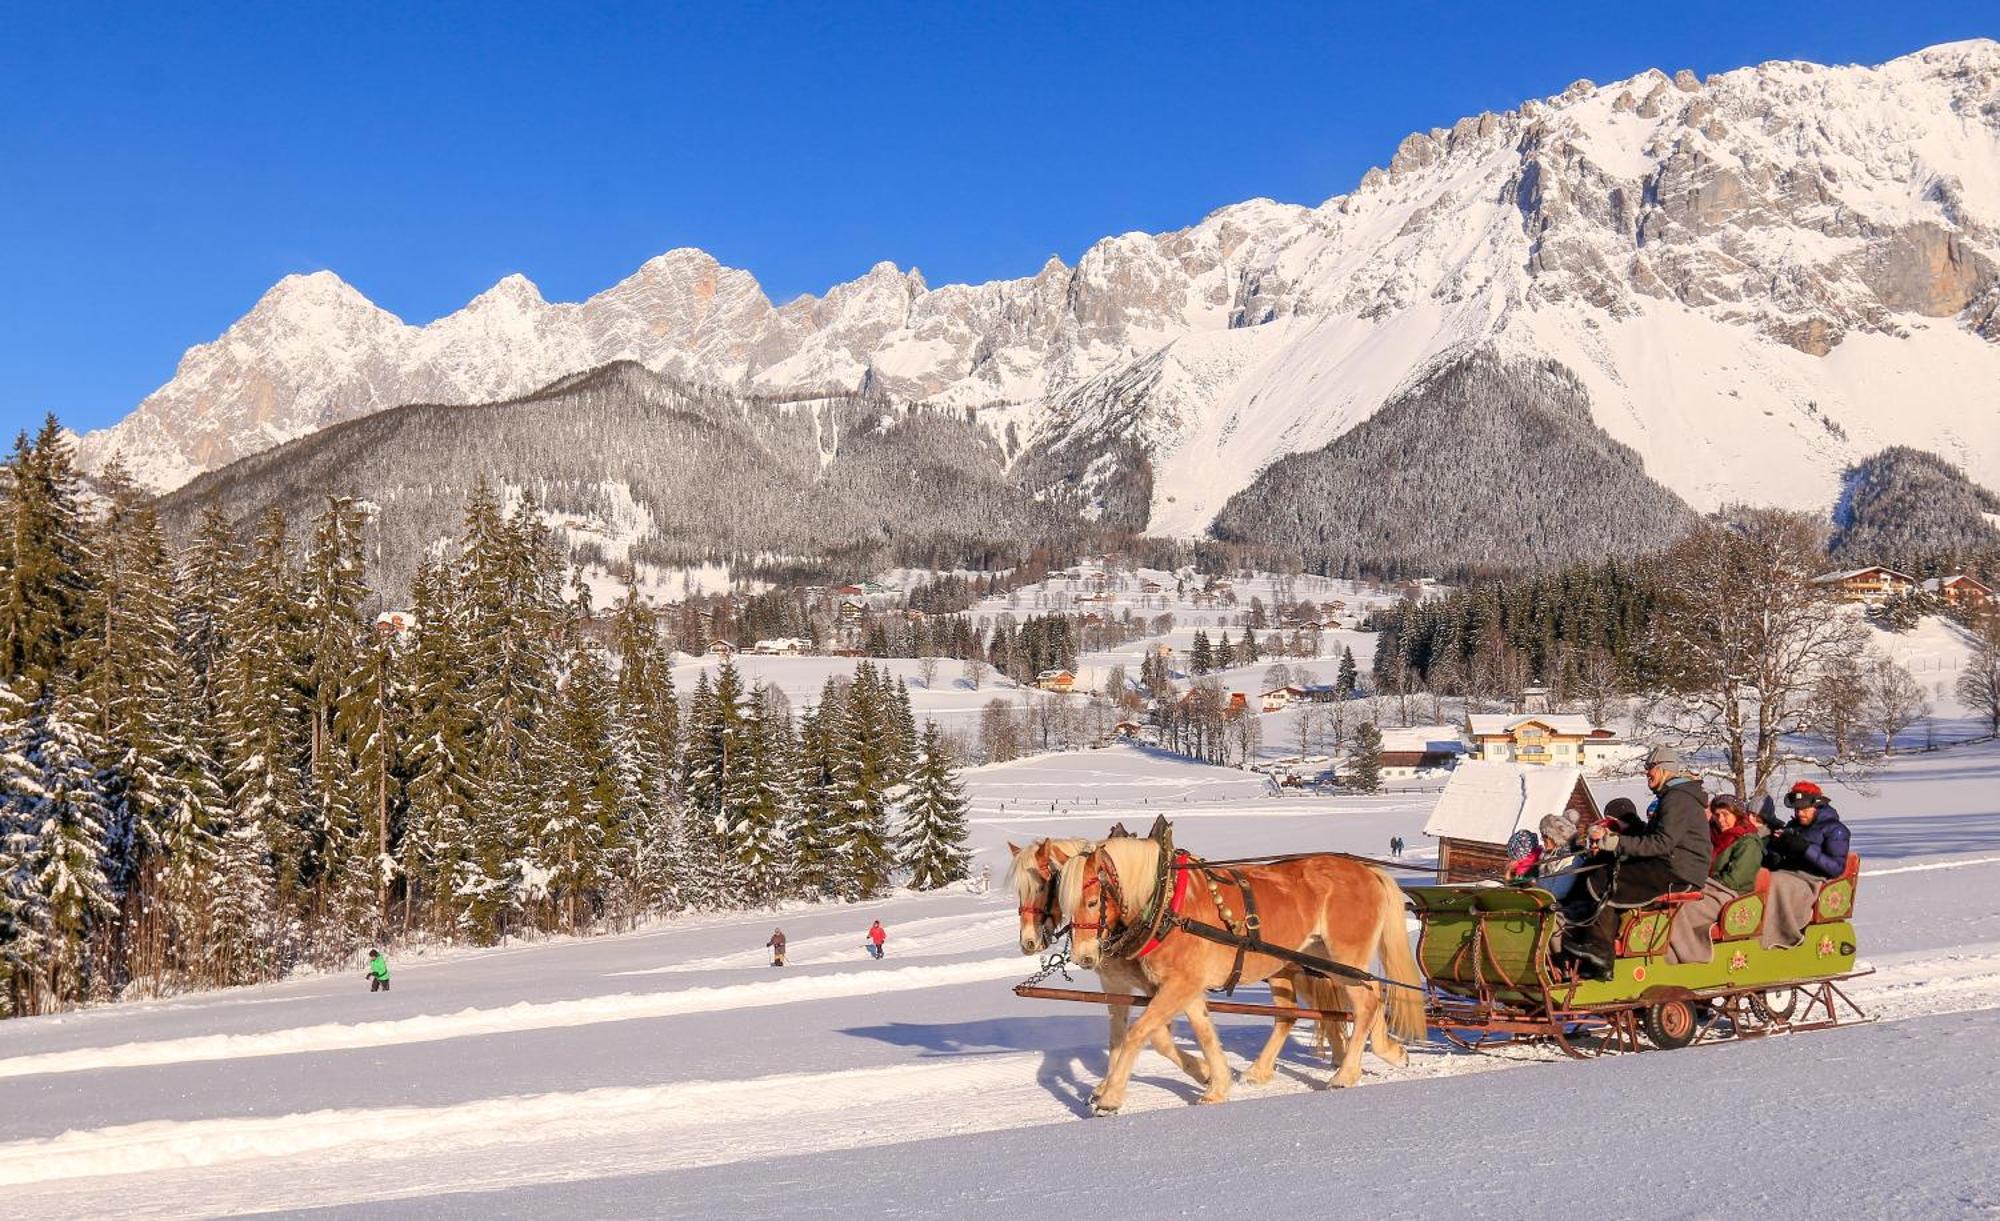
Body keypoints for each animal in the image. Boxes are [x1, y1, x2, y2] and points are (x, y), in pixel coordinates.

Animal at [1064, 836, 1424, 1112]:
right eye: (1065, 904)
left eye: (1093, 901)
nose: (1084, 957)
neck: (1167, 904)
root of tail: (1367, 870)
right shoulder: (1184, 986)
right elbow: (1198, 1033)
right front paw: (1214, 1082)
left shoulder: (1181, 983)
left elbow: (1138, 1032)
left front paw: (1110, 1098)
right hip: (1319, 961)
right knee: (1357, 1000)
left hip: (1342, 957)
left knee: (1366, 1004)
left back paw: (1345, 1075)